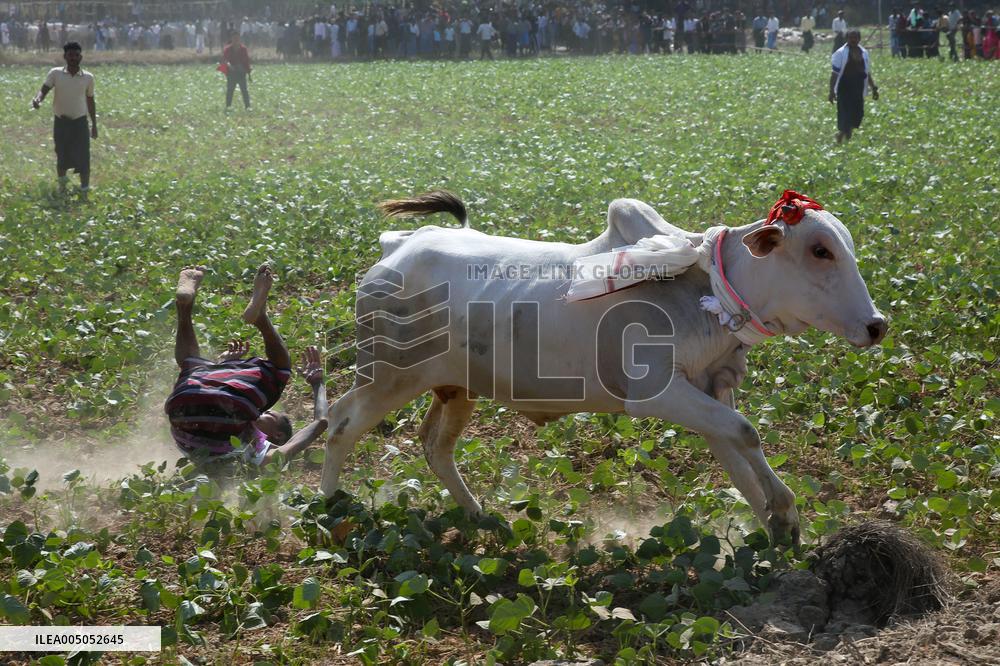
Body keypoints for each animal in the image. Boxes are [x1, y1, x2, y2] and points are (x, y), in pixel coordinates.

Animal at [319, 191, 887, 545]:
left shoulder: (709, 394)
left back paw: (479, 516)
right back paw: (329, 509)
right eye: (820, 250)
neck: (705, 287)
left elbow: (740, 453)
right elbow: (748, 433)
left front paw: (778, 525)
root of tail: (396, 249)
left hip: (454, 387)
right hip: (389, 376)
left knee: (433, 447)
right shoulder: (657, 391)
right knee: (340, 426)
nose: (877, 325)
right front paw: (784, 511)